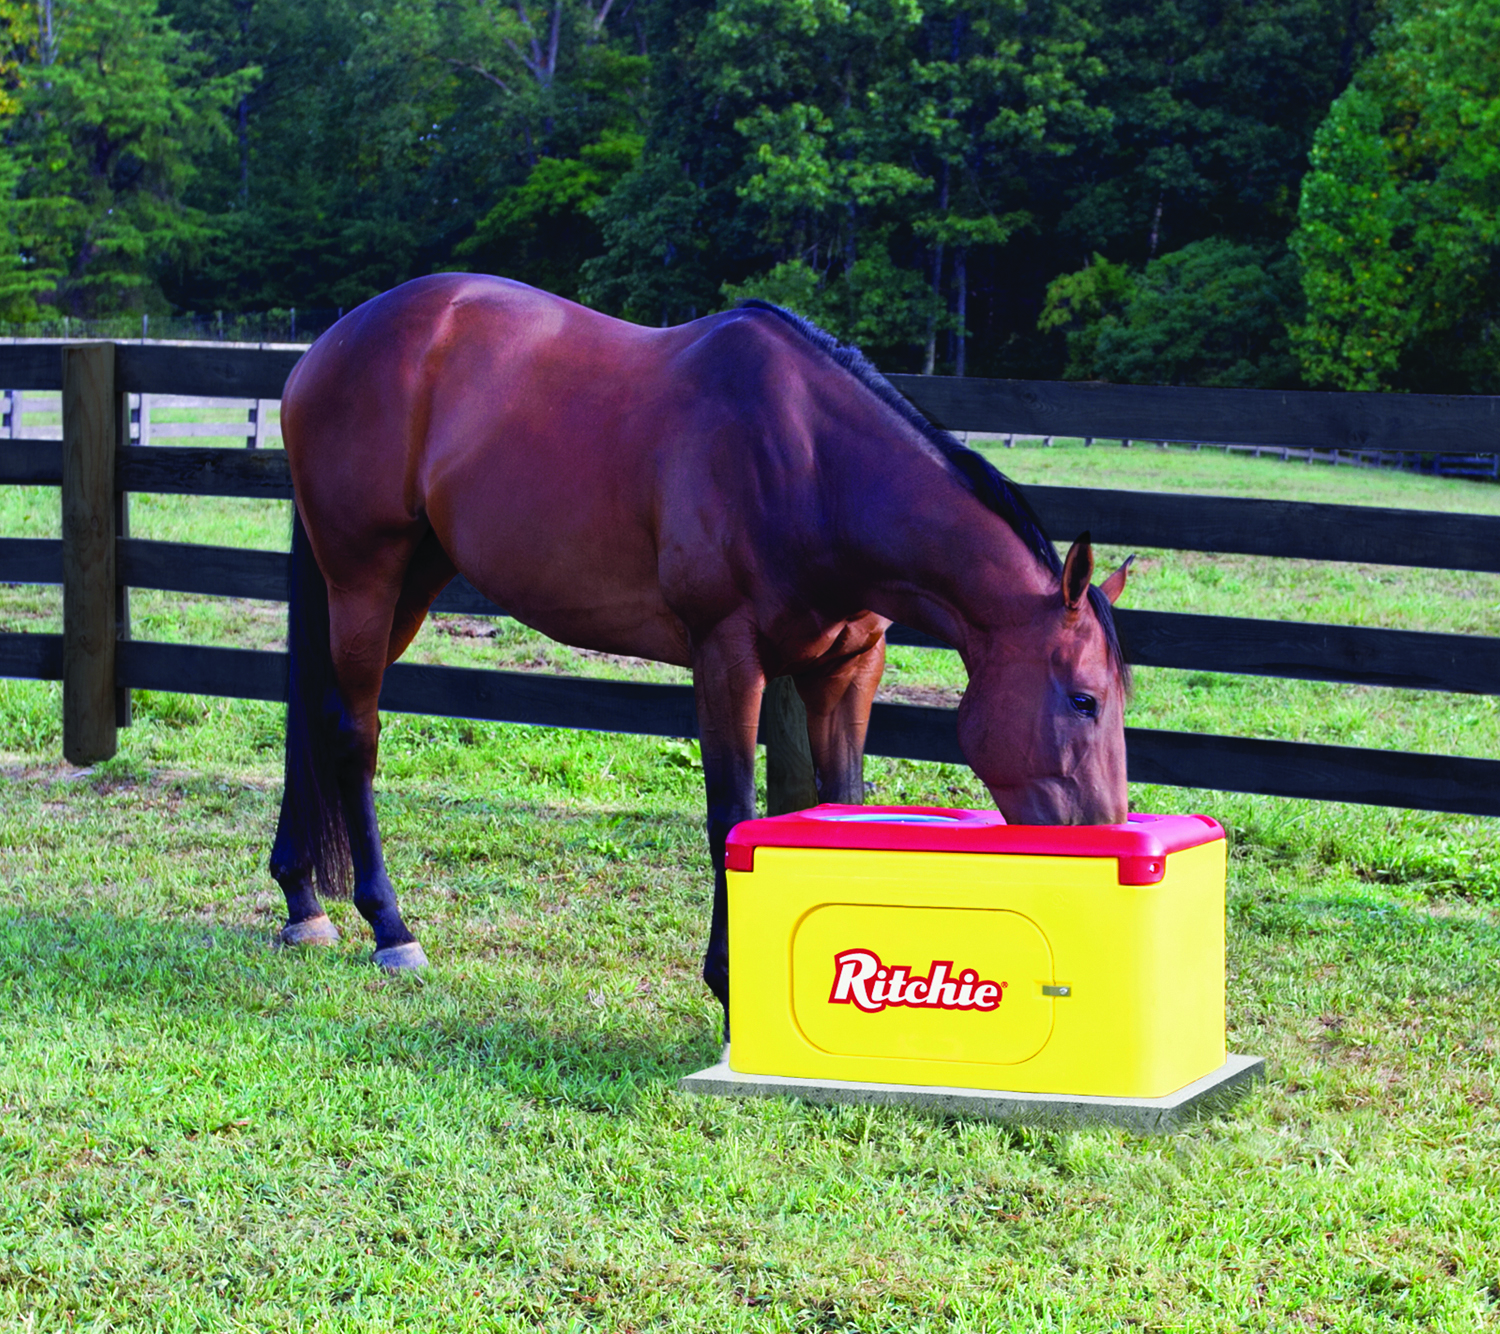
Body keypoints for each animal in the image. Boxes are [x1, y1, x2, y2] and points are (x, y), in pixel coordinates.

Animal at [269, 274, 1133, 1026]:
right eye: (1082, 699)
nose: (1104, 837)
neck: (813, 468)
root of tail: (330, 345)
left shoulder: (848, 670)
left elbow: (843, 804)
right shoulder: (728, 660)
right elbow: (731, 816)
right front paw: (728, 989)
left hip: (412, 580)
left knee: (316, 717)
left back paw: (301, 899)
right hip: (365, 577)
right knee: (353, 736)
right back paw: (389, 927)